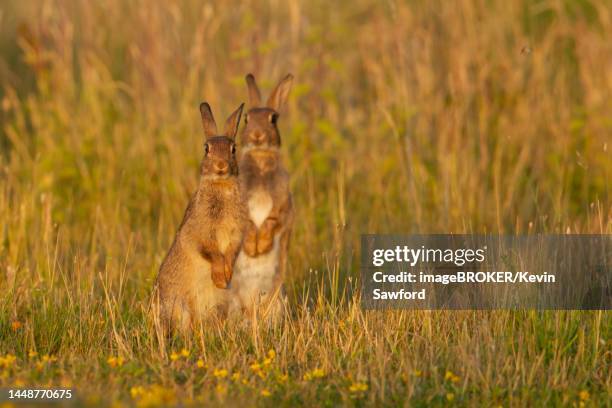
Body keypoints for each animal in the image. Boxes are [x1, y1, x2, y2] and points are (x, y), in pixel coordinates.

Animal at [154, 101, 247, 332]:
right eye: (207, 148)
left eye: (233, 149)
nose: (221, 165)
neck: (220, 185)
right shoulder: (199, 233)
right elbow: (211, 252)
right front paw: (220, 278)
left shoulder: (237, 234)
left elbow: (231, 252)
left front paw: (226, 276)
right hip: (180, 308)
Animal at [231, 74, 296, 322]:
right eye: (246, 118)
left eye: (273, 118)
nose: (257, 135)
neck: (260, 158)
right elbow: (249, 222)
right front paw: (253, 247)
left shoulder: (282, 203)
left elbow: (271, 220)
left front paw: (262, 245)